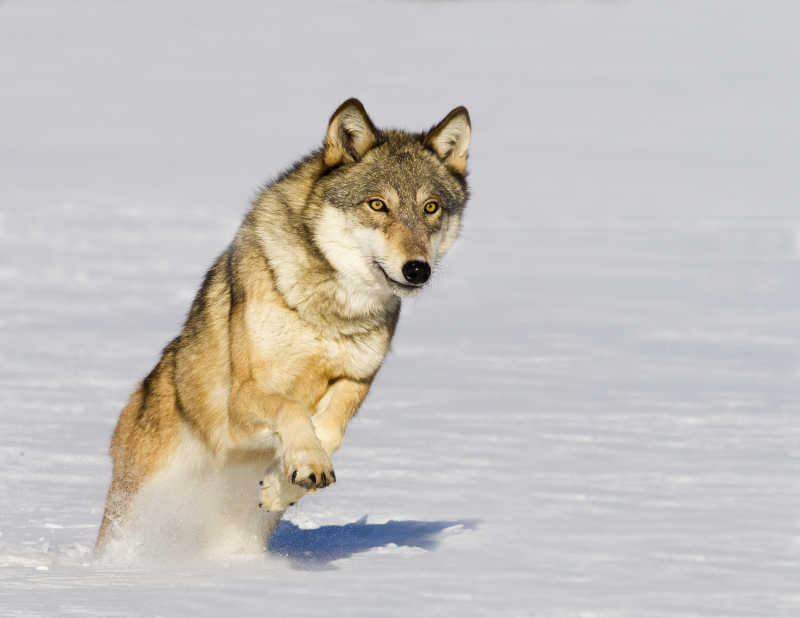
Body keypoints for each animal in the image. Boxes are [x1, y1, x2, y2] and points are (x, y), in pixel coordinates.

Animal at [95, 98, 468, 556]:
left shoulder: (356, 381)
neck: (329, 313)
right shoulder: (241, 404)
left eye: (431, 208)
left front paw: (283, 484)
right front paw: (306, 461)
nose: (417, 269)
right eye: (377, 204)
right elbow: (292, 410)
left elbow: (330, 432)